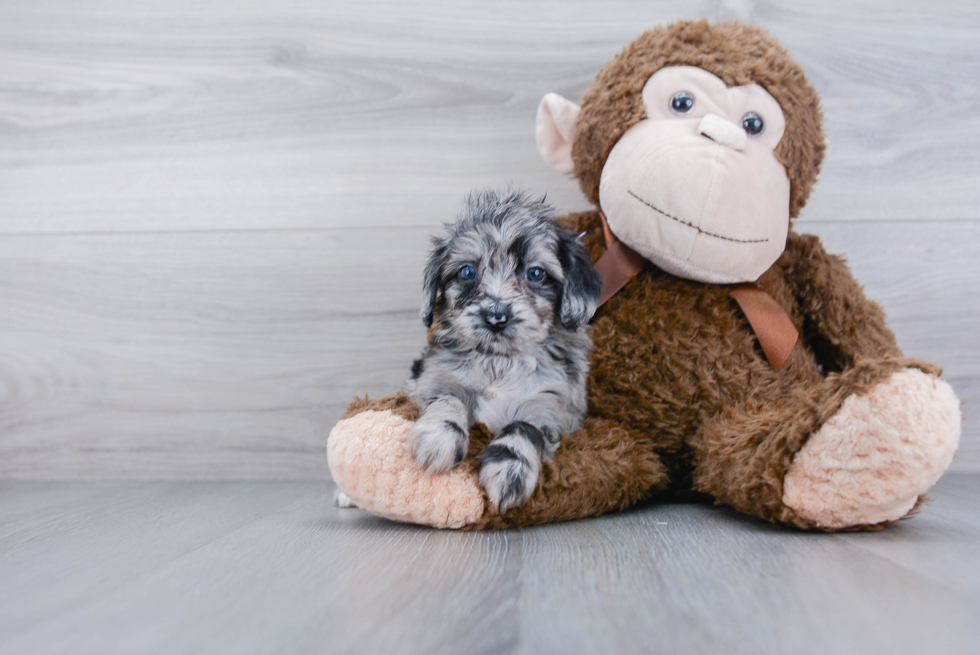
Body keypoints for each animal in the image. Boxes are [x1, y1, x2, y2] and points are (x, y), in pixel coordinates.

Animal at [406, 192, 604, 516]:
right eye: (467, 272)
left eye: (535, 273)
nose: (496, 317)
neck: (499, 362)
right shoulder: (433, 380)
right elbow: (447, 400)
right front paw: (439, 436)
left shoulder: (551, 405)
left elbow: (522, 428)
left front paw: (511, 469)